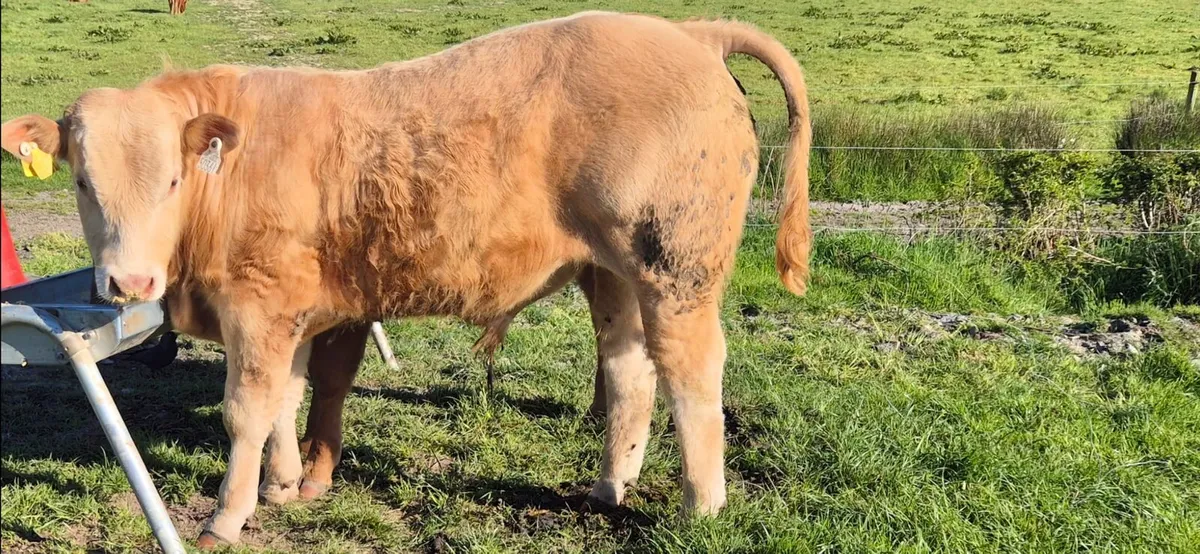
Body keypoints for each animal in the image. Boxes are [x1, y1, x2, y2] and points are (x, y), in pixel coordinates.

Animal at [0, 11, 811, 547]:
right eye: (82, 182)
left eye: (172, 179)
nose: (129, 282)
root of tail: (689, 34)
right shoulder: (293, 311)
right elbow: (288, 399)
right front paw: (285, 484)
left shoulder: (258, 308)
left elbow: (247, 412)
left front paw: (230, 516)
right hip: (612, 275)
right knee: (628, 371)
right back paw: (610, 485)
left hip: (676, 270)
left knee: (693, 375)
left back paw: (700, 506)